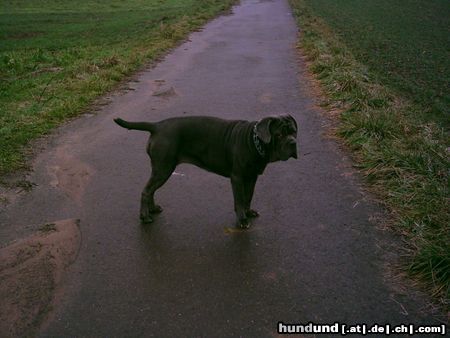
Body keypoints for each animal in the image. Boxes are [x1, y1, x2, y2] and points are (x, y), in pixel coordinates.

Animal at [114, 115, 298, 228]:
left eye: (294, 132)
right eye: (279, 135)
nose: (293, 143)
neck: (254, 141)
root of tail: (157, 126)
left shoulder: (252, 177)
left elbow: (248, 197)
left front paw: (248, 212)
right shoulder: (238, 178)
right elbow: (239, 200)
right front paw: (242, 220)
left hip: (161, 170)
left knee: (151, 190)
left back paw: (152, 209)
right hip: (163, 168)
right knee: (146, 191)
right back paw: (145, 216)